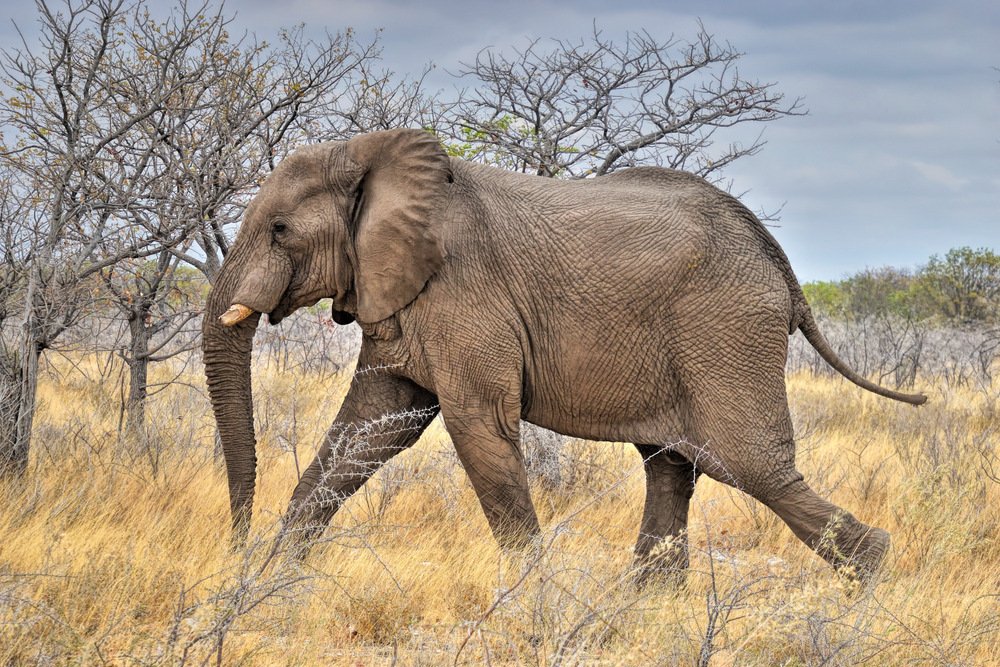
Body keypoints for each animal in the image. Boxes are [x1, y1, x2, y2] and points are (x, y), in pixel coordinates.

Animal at [202, 128, 926, 584]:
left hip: (727, 332)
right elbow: (370, 429)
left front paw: (530, 594)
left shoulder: (465, 293)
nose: (235, 543)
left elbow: (477, 426)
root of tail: (779, 261)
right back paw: (649, 604)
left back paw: (874, 576)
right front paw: (267, 583)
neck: (370, 155)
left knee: (752, 466)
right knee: (673, 465)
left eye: (280, 230)